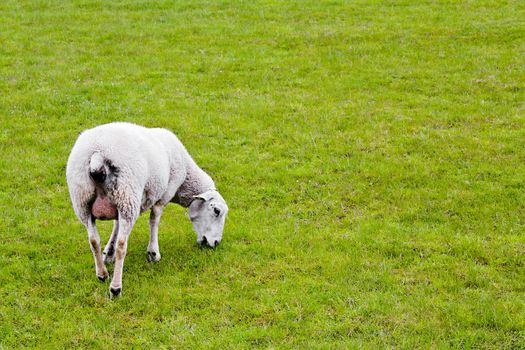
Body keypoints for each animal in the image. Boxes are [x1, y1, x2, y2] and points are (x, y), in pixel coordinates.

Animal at [66, 121, 229, 296]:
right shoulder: (163, 195)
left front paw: (108, 253)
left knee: (93, 240)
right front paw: (153, 252)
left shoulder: (117, 206)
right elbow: (154, 220)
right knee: (122, 245)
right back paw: (115, 288)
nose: (216, 243)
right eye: (216, 211)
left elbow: (115, 225)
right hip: (127, 195)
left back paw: (102, 274)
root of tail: (98, 154)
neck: (185, 180)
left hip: (84, 200)